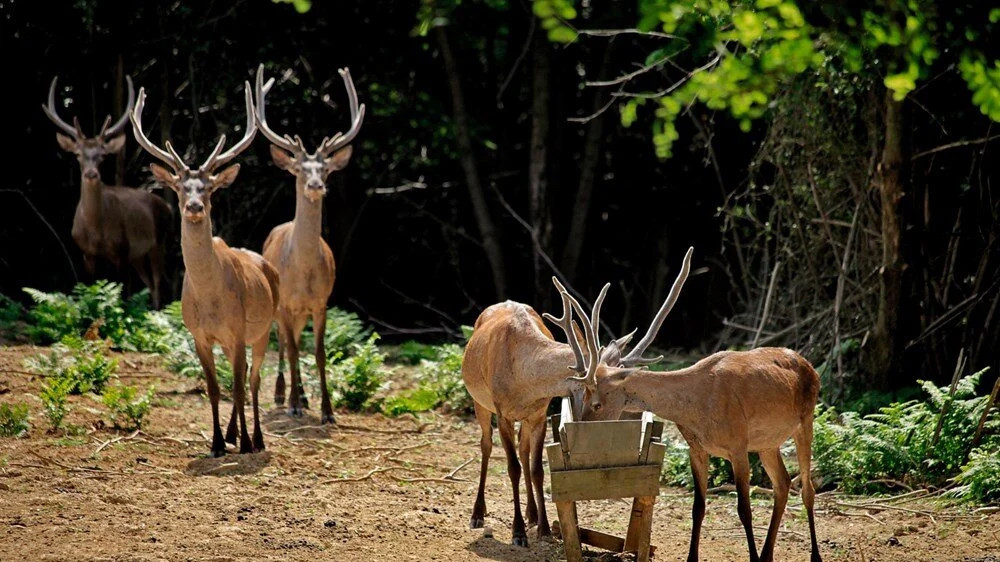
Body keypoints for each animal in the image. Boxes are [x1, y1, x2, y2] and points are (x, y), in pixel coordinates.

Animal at [42, 75, 172, 306]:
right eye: (78, 154)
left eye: (102, 155)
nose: (91, 174)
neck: (96, 231)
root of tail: (168, 207)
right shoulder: (86, 253)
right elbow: (91, 289)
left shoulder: (121, 249)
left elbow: (122, 292)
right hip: (139, 256)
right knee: (150, 284)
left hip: (158, 242)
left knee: (158, 285)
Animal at [129, 80, 280, 456]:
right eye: (180, 188)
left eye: (209, 188)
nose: (195, 206)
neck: (211, 299)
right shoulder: (198, 334)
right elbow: (214, 388)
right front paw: (216, 444)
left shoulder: (239, 329)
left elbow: (238, 386)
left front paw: (245, 444)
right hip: (231, 339)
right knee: (241, 375)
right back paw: (232, 434)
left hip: (266, 326)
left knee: (253, 379)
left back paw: (255, 438)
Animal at [254, 63, 368, 418]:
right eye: (299, 170)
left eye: (326, 170)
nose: (316, 185)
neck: (303, 271)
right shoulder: (287, 303)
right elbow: (291, 351)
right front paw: (293, 404)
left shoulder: (321, 302)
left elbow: (318, 353)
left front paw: (328, 410)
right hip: (279, 305)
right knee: (282, 342)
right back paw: (284, 395)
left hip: (302, 311)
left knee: (294, 342)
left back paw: (303, 397)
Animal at [552, 247, 824, 560]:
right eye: (582, 396)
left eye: (596, 403)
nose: (577, 432)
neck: (699, 405)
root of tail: (810, 366)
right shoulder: (697, 448)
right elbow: (698, 508)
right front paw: (693, 556)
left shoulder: (738, 444)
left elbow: (744, 510)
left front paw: (752, 557)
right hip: (768, 442)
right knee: (783, 483)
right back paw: (768, 554)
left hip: (806, 421)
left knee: (807, 488)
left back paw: (813, 555)